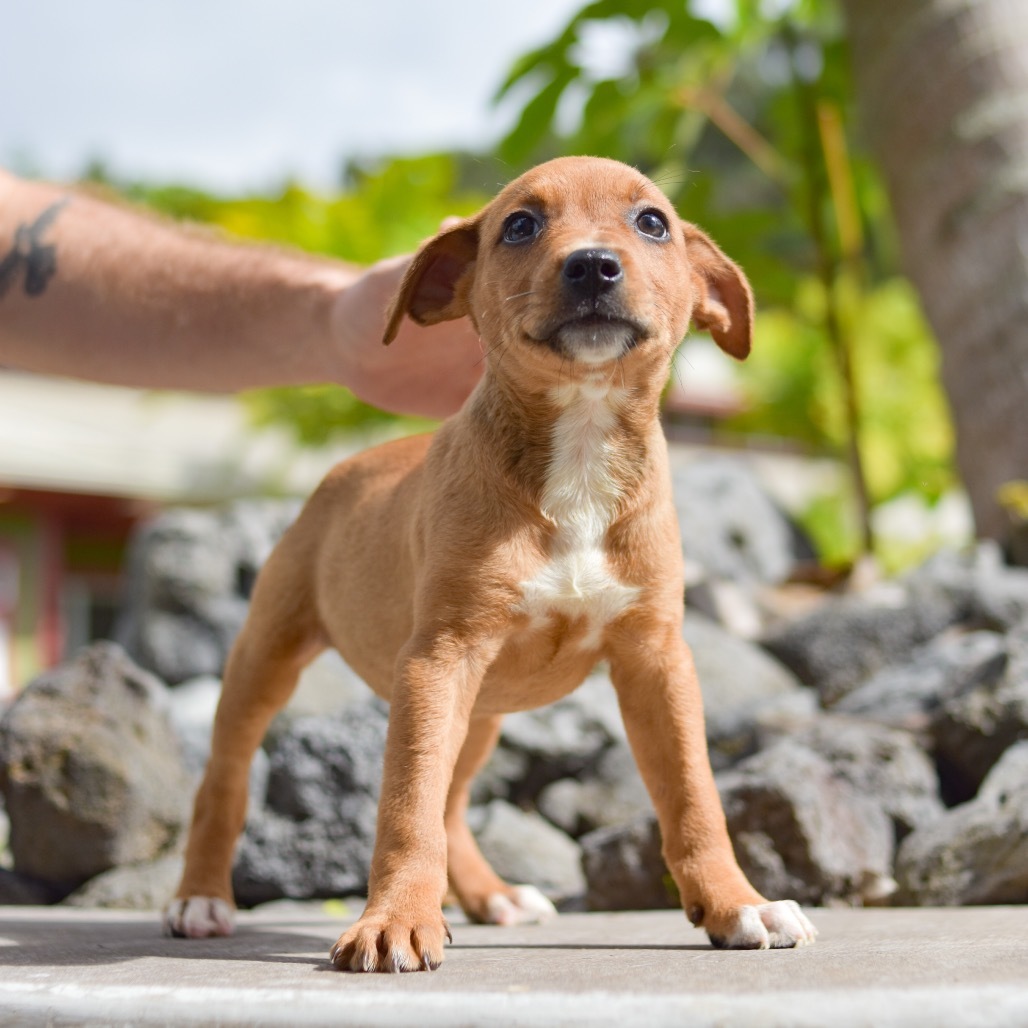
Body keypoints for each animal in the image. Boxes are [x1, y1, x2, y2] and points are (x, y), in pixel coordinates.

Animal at [162, 156, 818, 966]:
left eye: (652, 223)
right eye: (520, 225)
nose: (593, 265)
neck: (580, 446)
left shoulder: (656, 661)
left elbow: (694, 797)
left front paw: (737, 904)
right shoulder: (438, 659)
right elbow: (407, 804)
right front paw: (394, 920)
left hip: (479, 717)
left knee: (452, 801)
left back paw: (491, 896)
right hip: (268, 656)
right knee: (226, 781)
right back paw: (201, 897)